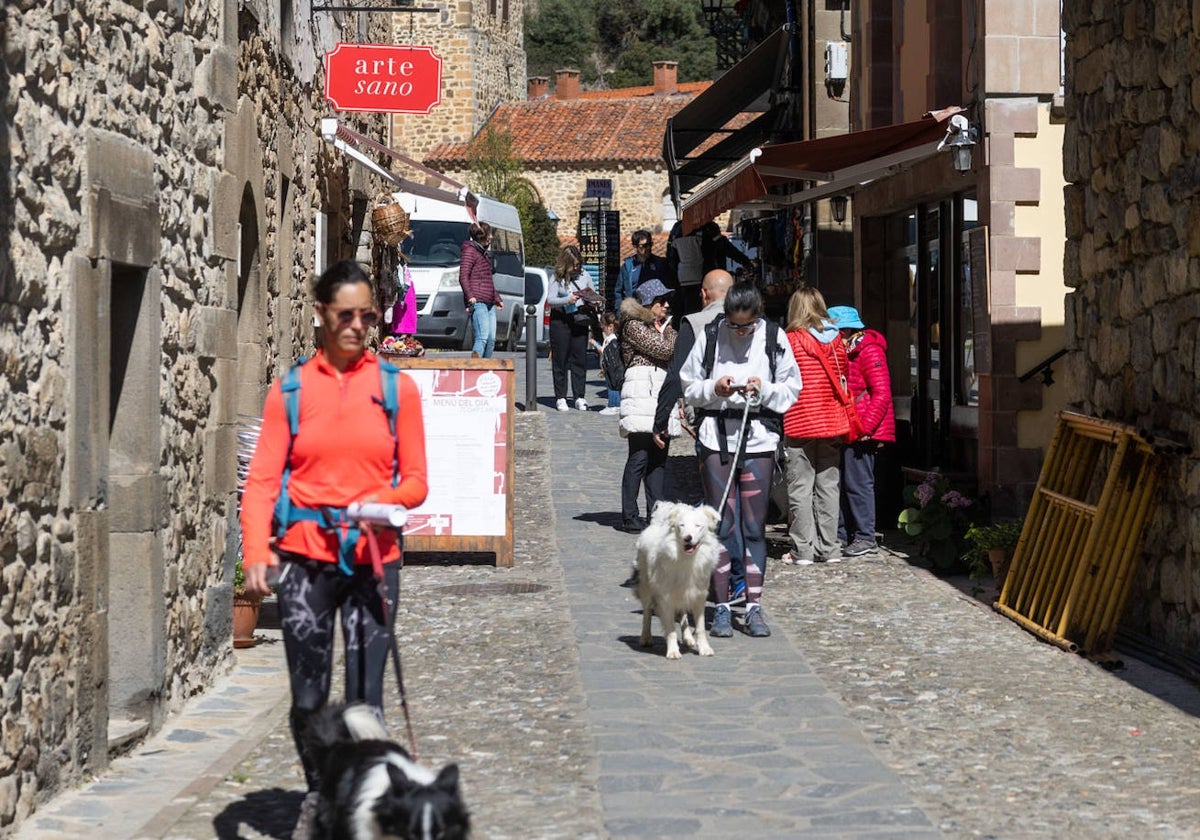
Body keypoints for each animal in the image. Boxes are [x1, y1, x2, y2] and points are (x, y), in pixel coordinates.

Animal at [638, 501, 720, 657]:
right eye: (681, 525)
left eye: (698, 526)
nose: (688, 538)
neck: (687, 559)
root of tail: (657, 523)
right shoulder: (665, 598)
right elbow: (670, 629)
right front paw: (673, 651)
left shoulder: (699, 596)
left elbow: (700, 627)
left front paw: (704, 648)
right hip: (646, 586)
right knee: (647, 613)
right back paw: (645, 637)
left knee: (683, 616)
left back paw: (688, 638)